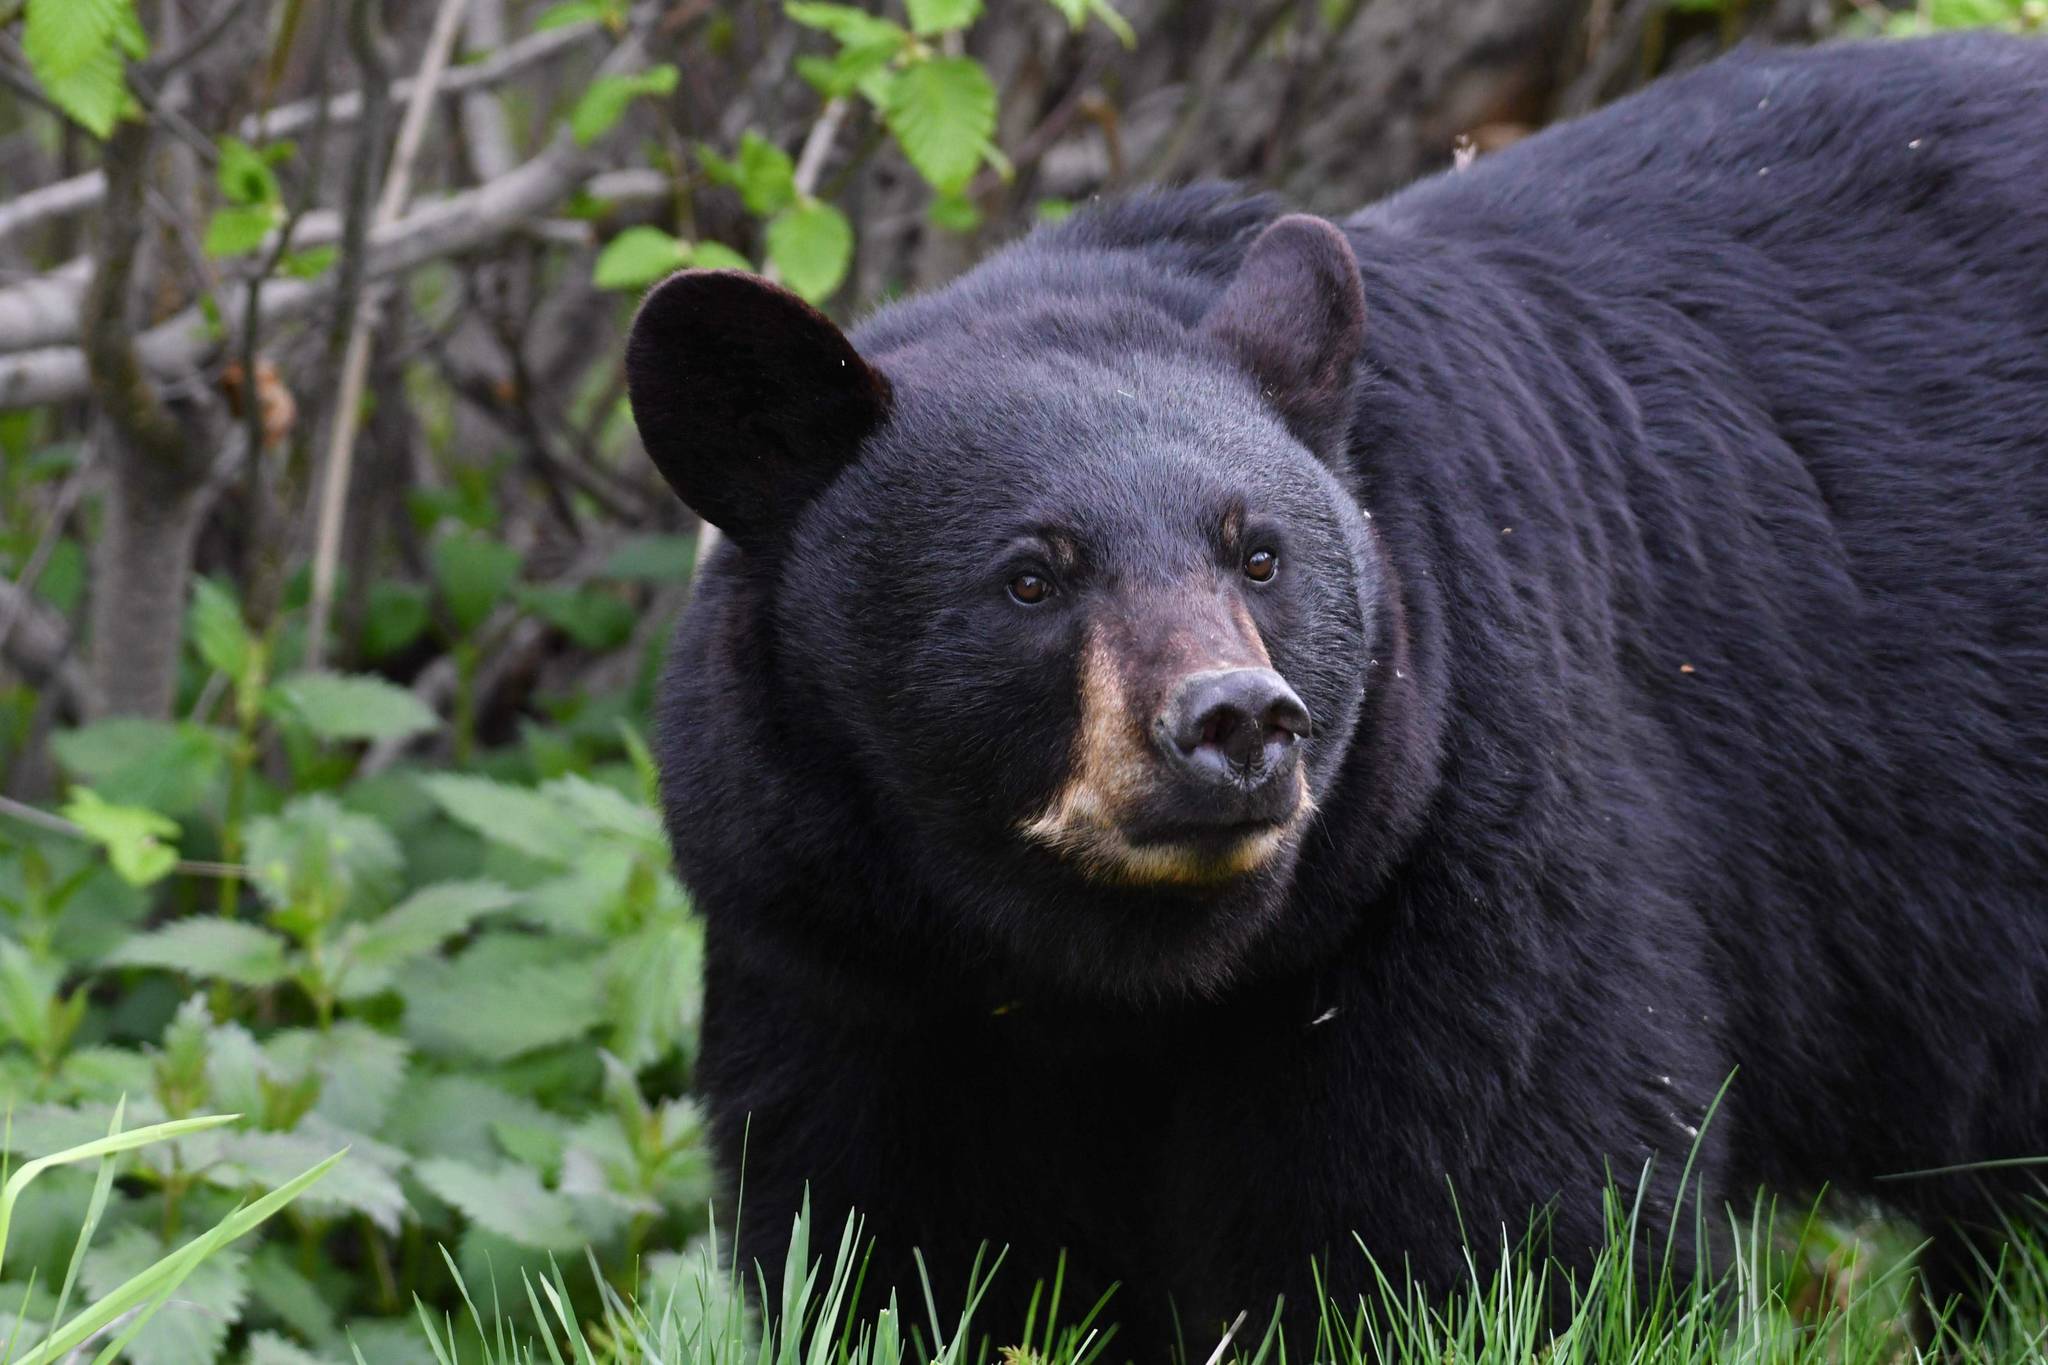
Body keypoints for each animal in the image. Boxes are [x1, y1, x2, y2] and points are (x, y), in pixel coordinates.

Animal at [618, 31, 2048, 1358]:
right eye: (1030, 576)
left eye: (1258, 552)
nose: (1235, 720)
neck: (1103, 972)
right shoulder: (844, 965)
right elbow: (897, 1248)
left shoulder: (1456, 843)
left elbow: (1504, 1220)